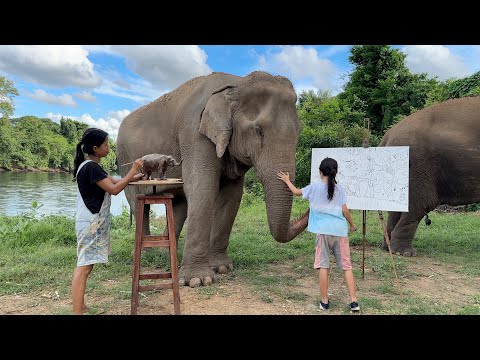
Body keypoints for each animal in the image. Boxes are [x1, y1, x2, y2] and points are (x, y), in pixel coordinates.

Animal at [116, 71, 308, 286]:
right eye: (258, 130)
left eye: (299, 132)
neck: (236, 83)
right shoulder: (194, 133)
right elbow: (203, 187)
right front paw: (197, 280)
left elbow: (231, 196)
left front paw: (222, 268)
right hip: (125, 162)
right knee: (139, 204)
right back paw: (147, 253)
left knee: (179, 205)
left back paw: (166, 252)